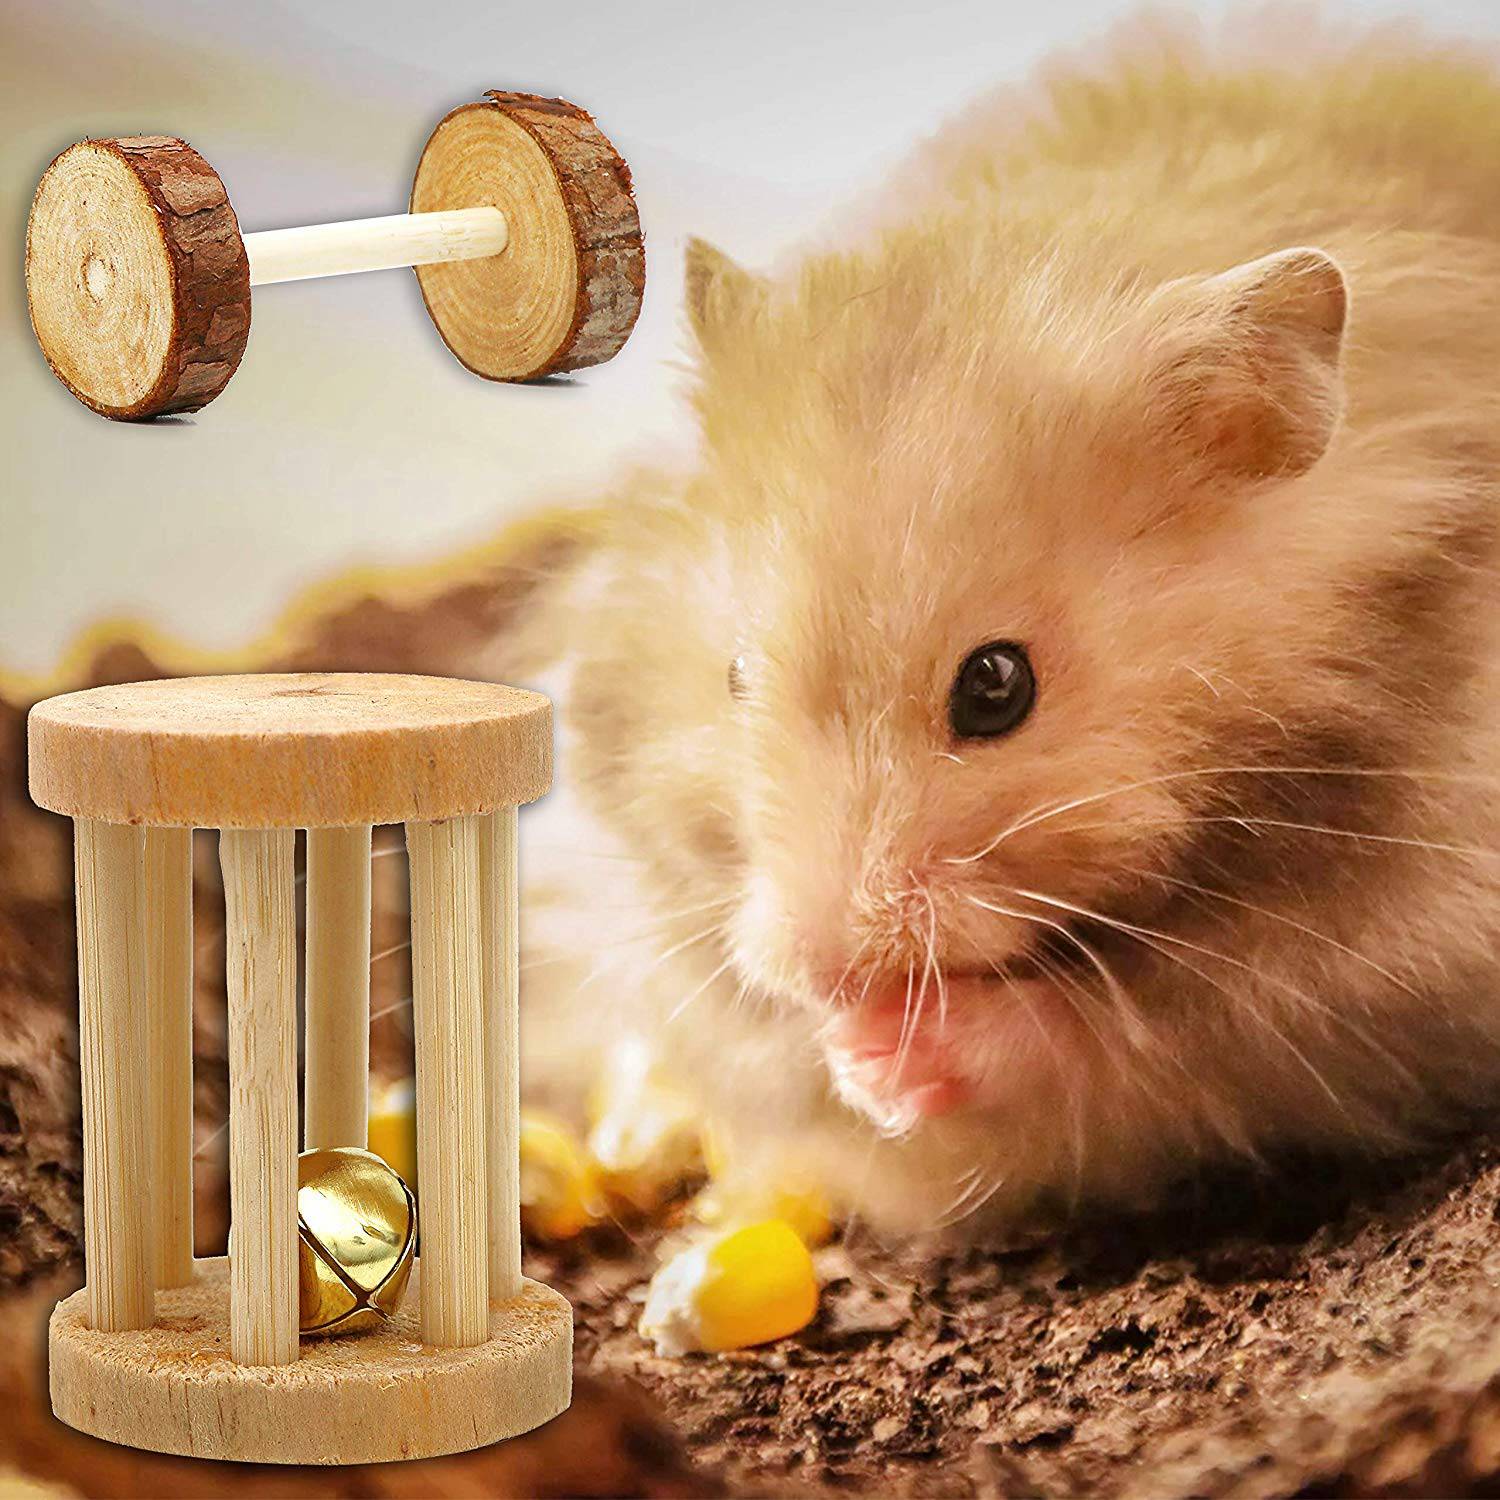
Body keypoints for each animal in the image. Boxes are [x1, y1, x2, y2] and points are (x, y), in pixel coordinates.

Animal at [499, 21, 1500, 1236]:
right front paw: (848, 1057)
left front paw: (899, 1054)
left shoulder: (1393, 950)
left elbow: (1143, 1031)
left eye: (997, 687)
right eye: (733, 677)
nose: (833, 973)